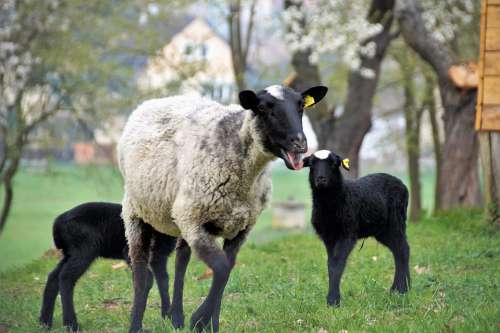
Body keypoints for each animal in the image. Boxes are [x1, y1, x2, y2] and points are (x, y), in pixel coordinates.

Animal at [38, 201, 176, 330]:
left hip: (70, 253)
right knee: (66, 277)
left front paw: (167, 318)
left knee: (53, 277)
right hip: (84, 249)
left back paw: (45, 323)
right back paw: (71, 325)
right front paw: (136, 322)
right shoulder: (130, 252)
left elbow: (163, 281)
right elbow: (147, 280)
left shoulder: (160, 257)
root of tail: (58, 222)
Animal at [300, 150, 410, 306]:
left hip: (396, 221)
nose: (321, 179)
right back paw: (400, 288)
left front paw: (333, 300)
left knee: (403, 250)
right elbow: (330, 265)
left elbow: (337, 264)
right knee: (399, 250)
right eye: (311, 164)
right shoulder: (329, 237)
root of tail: (401, 184)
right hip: (382, 230)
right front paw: (332, 299)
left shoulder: (347, 234)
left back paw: (401, 289)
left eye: (334, 163)